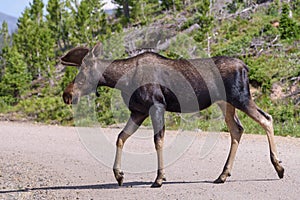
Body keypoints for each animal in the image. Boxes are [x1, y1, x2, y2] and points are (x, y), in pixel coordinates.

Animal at [60, 43, 284, 188]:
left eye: (82, 73)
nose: (67, 94)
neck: (122, 81)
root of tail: (245, 67)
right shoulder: (139, 111)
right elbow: (121, 137)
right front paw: (119, 175)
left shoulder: (157, 105)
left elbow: (158, 140)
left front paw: (159, 178)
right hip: (226, 103)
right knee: (237, 129)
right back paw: (222, 175)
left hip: (240, 97)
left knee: (266, 118)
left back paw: (279, 167)